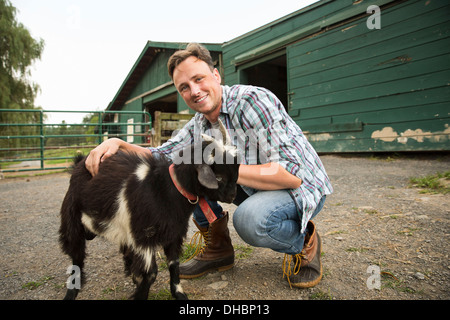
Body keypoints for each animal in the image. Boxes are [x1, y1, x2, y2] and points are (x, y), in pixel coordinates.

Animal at [59, 127, 239, 300]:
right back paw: (71, 293)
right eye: (219, 177)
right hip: (72, 220)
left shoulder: (174, 233)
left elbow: (174, 264)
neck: (167, 189)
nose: (232, 196)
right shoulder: (144, 237)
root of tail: (80, 161)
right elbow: (150, 274)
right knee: (77, 257)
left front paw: (179, 294)